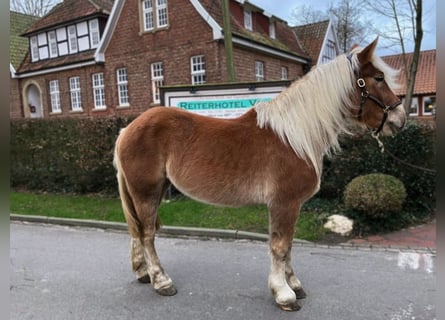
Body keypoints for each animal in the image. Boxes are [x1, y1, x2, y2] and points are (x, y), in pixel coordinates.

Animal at [113, 38, 406, 312]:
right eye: (378, 78)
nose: (399, 119)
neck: (295, 136)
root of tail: (128, 129)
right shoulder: (284, 203)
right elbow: (280, 247)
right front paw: (284, 293)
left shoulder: (290, 206)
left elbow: (288, 246)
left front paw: (294, 284)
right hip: (146, 192)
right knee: (147, 234)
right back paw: (161, 281)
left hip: (154, 190)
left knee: (139, 231)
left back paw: (143, 273)